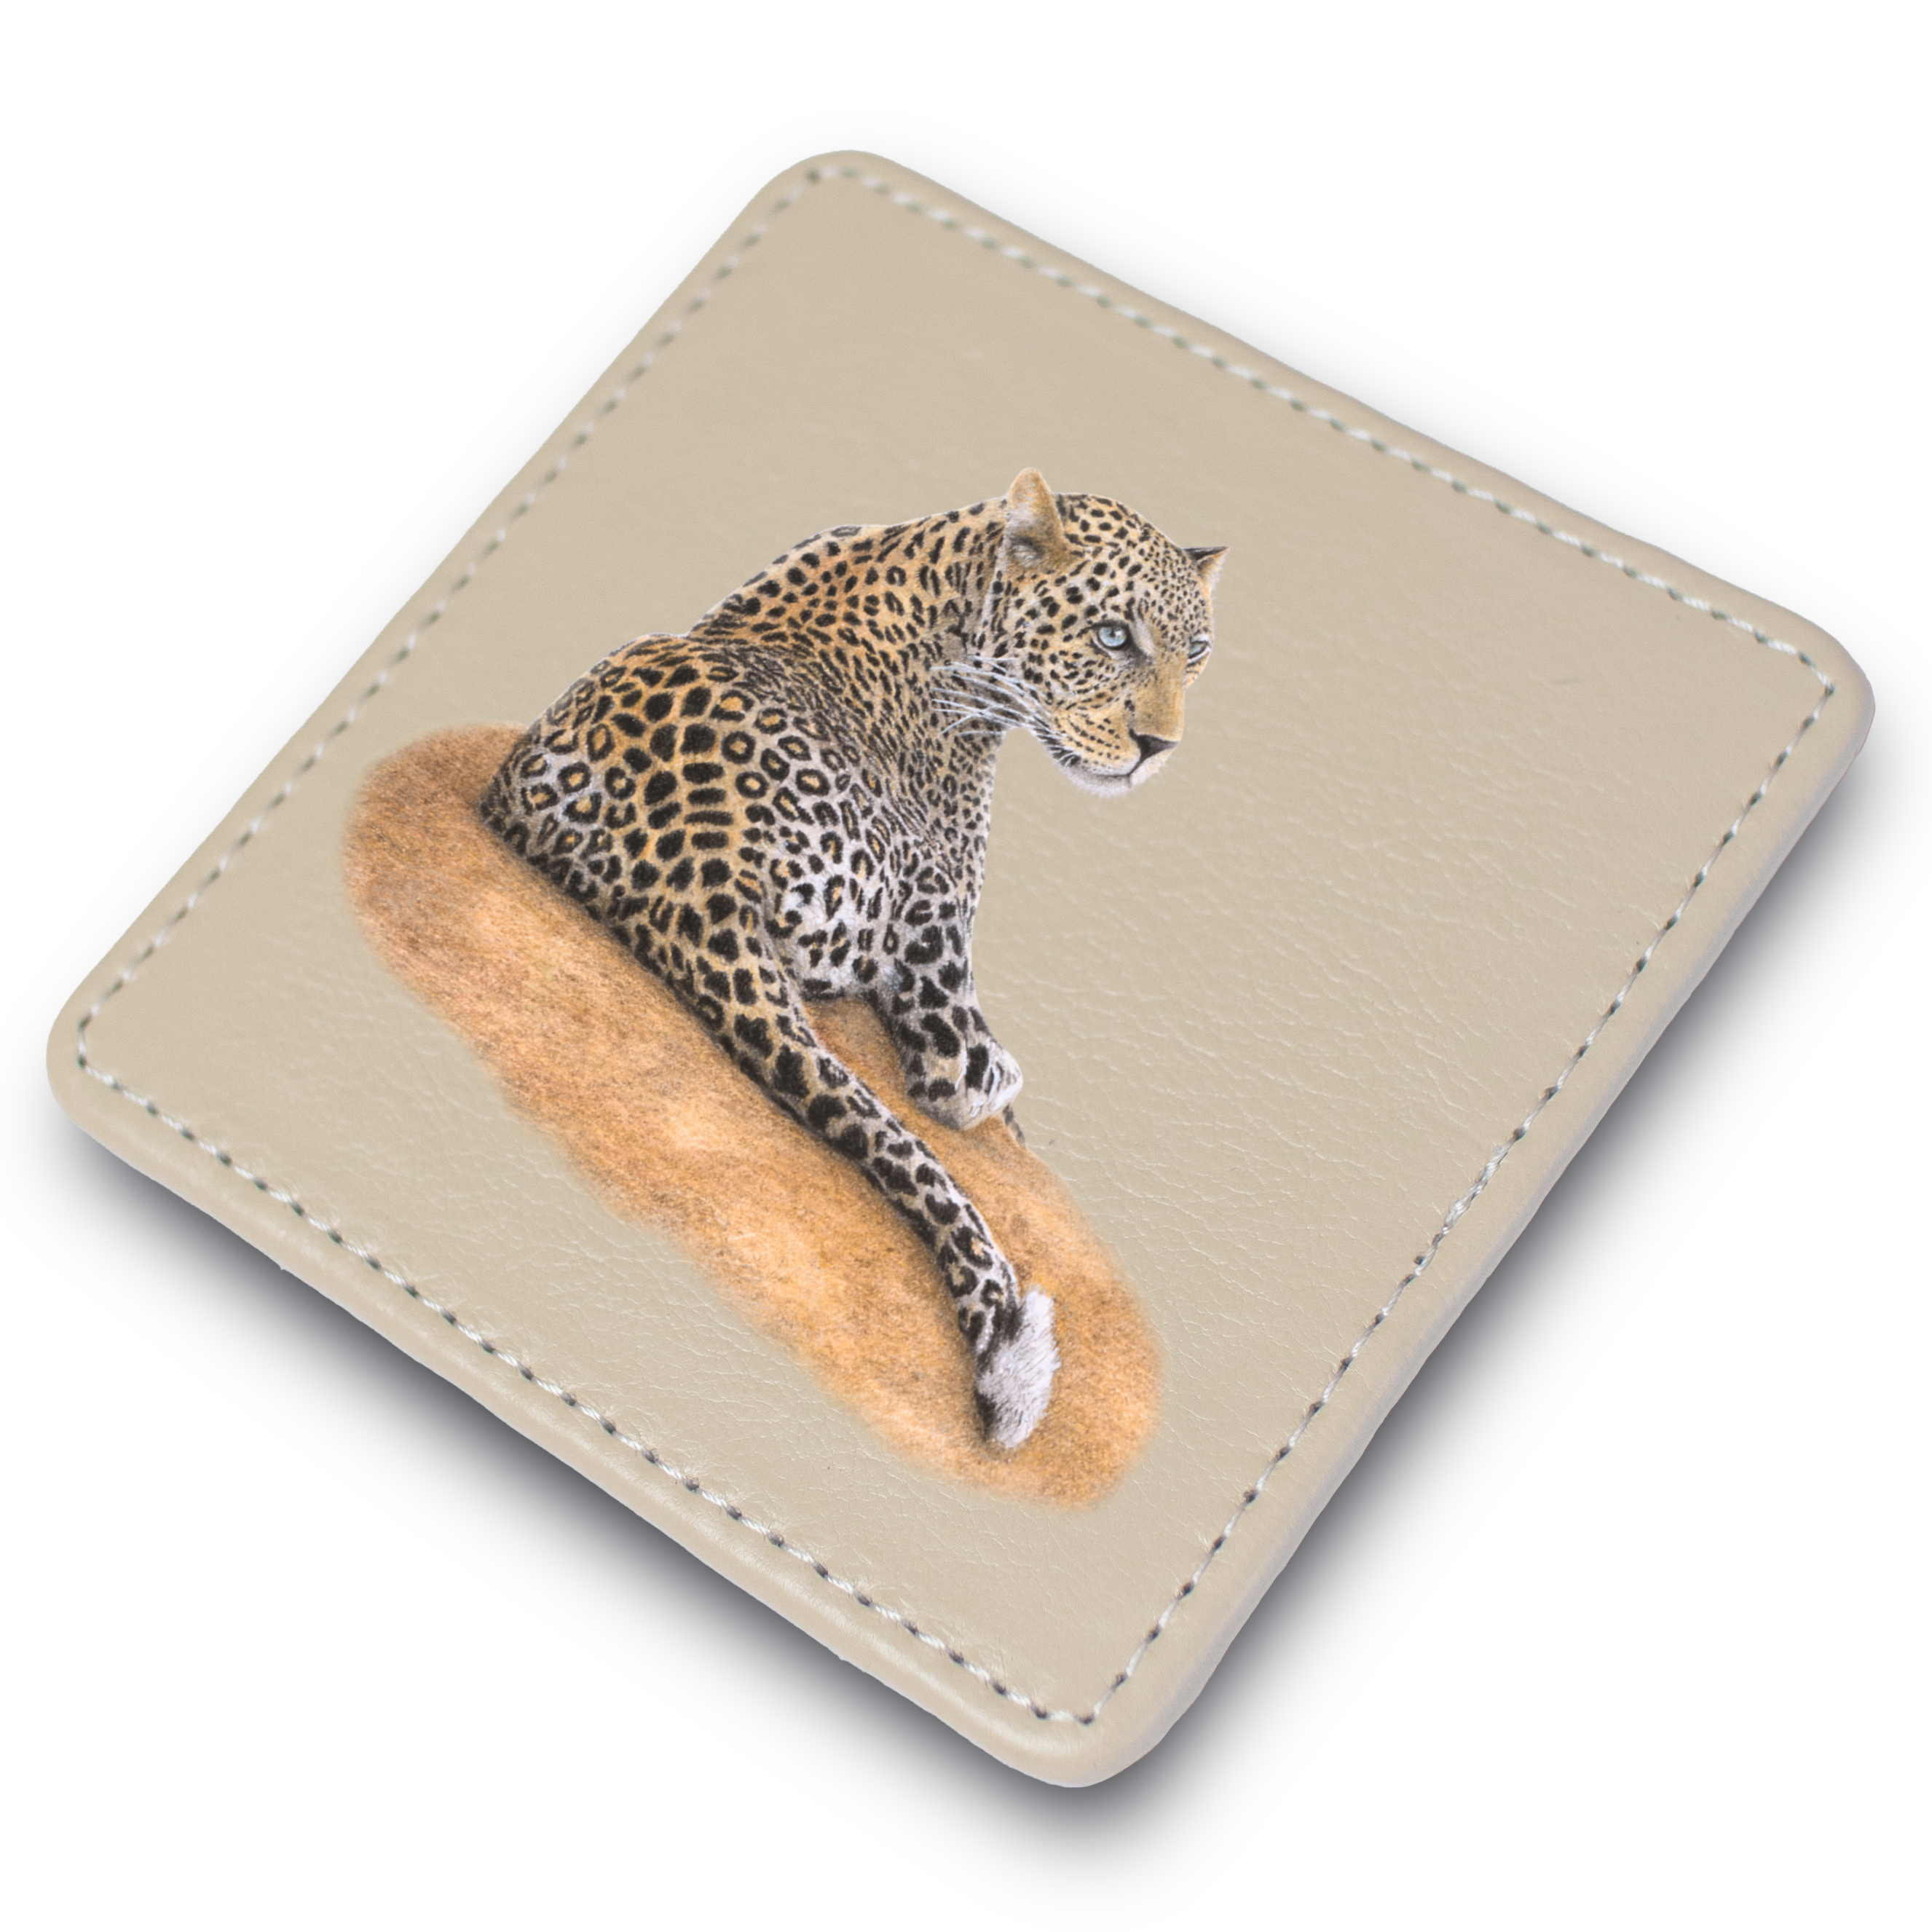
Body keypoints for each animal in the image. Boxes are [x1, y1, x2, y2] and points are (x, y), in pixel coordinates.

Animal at [481, 469, 1224, 1448]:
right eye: (1112, 636)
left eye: (1198, 653)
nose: (1159, 749)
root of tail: (695, 874)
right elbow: (956, 1073)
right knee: (948, 1064)